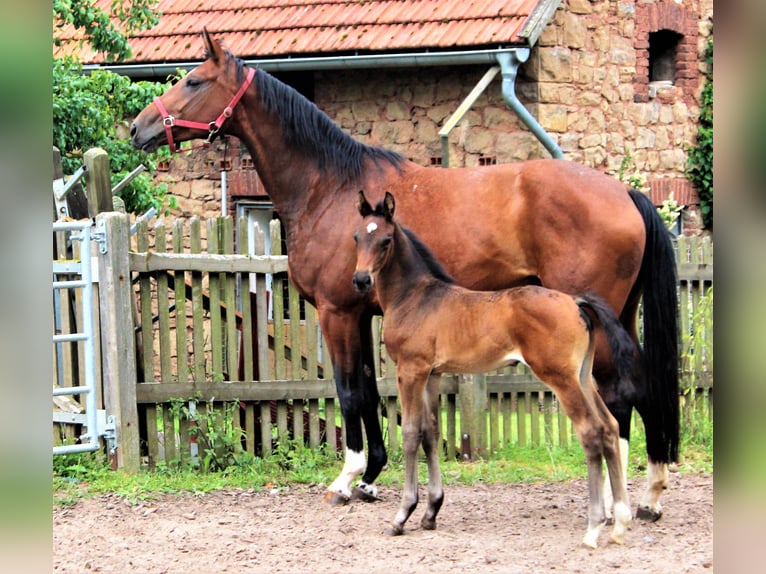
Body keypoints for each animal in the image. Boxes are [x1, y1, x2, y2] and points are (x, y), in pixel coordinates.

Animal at [354, 192, 636, 548]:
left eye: (386, 240)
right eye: (357, 237)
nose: (360, 279)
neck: (415, 297)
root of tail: (574, 302)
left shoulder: (411, 370)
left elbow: (411, 434)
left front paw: (402, 515)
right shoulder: (433, 374)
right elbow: (431, 432)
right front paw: (431, 512)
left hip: (561, 377)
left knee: (590, 430)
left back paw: (594, 526)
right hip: (584, 377)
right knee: (610, 426)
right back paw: (621, 523)